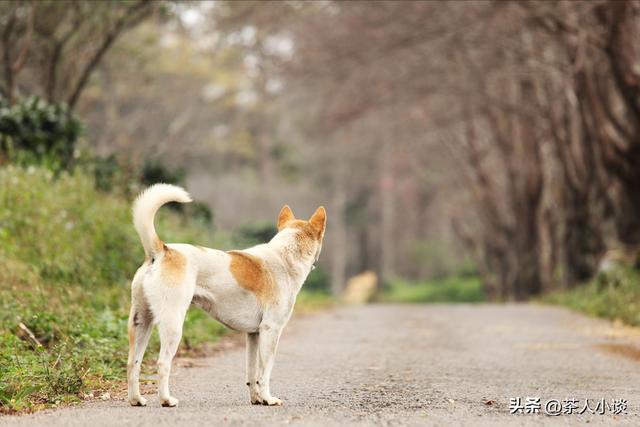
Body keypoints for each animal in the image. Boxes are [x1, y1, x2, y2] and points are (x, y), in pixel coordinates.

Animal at [126, 184, 324, 408]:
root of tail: (162, 251)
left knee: (133, 364)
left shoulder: (253, 335)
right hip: (173, 324)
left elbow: (252, 372)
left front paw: (256, 399)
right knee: (162, 363)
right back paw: (167, 400)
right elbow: (265, 372)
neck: (285, 256)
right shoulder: (271, 330)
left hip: (141, 323)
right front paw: (268, 398)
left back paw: (136, 399)